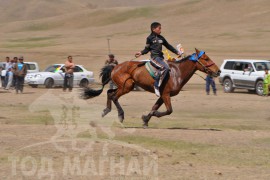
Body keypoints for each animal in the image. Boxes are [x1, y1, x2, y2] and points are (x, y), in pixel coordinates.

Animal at [83, 48, 220, 127]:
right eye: (206, 58)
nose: (218, 71)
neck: (177, 72)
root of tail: (114, 67)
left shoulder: (162, 95)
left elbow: (154, 107)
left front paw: (145, 119)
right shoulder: (165, 95)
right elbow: (169, 110)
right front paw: (152, 116)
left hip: (124, 86)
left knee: (109, 92)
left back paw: (105, 111)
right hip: (127, 86)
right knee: (113, 96)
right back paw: (120, 116)